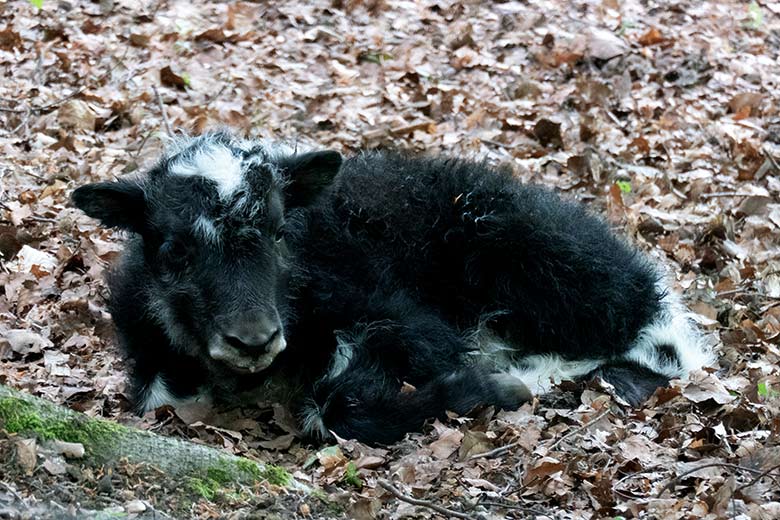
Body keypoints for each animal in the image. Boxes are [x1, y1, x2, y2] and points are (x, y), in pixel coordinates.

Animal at [73, 132, 712, 444]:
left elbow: (339, 408)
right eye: (174, 249)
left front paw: (489, 386)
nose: (253, 340)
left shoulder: (404, 320)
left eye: (280, 232)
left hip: (544, 264)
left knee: (657, 339)